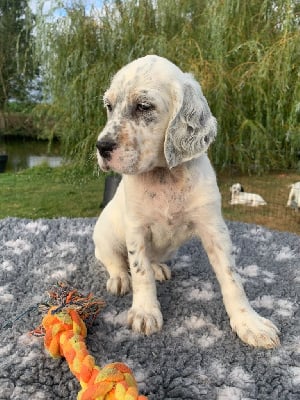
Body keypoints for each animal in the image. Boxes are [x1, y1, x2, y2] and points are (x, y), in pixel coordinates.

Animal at [93, 54, 278, 348]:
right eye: (109, 106)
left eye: (143, 106)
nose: (101, 147)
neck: (165, 175)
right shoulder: (135, 228)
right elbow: (139, 271)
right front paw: (145, 311)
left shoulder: (214, 228)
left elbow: (231, 278)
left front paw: (249, 322)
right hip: (105, 236)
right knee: (114, 261)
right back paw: (120, 278)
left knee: (150, 262)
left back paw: (158, 268)